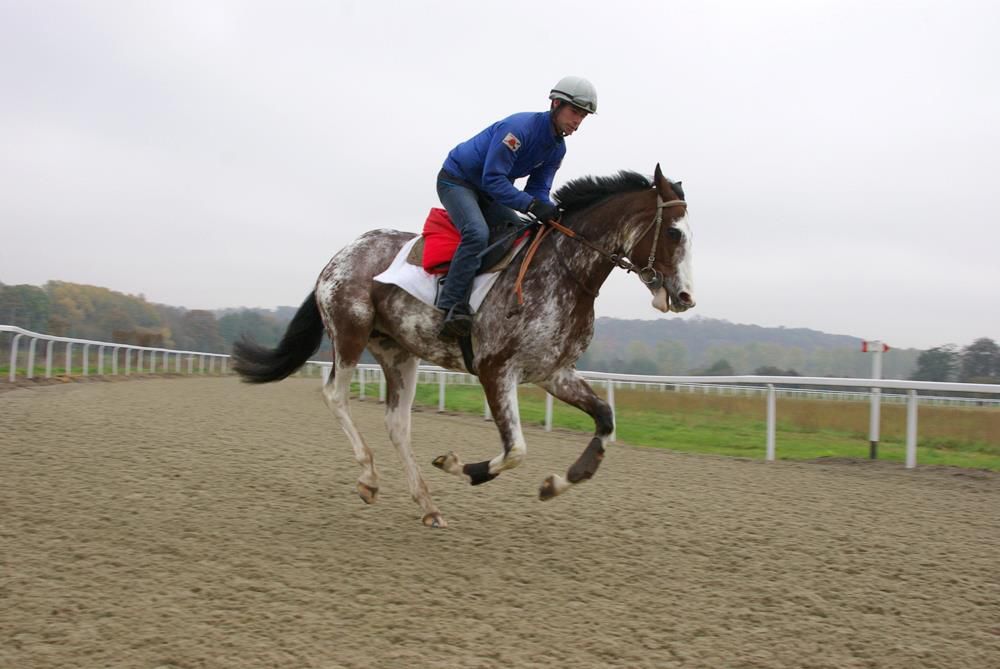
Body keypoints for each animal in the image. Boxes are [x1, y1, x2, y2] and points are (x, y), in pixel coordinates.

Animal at [232, 164, 694, 527]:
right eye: (674, 233)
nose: (685, 297)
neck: (564, 272)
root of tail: (340, 255)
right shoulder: (495, 369)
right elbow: (516, 450)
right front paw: (460, 467)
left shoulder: (552, 373)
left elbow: (604, 419)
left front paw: (556, 483)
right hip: (350, 332)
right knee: (334, 395)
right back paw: (368, 478)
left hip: (399, 352)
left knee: (397, 422)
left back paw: (427, 505)